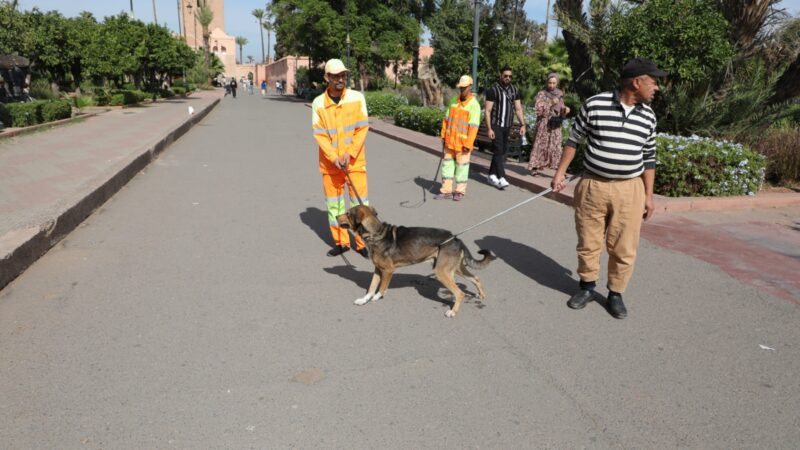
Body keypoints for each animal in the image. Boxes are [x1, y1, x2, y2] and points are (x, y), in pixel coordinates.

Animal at [336, 204, 494, 316]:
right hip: (455, 269)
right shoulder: (378, 269)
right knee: (476, 278)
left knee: (460, 293)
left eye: (348, 213)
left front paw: (376, 298)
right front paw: (363, 300)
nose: (336, 216)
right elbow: (371, 287)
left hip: (442, 272)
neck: (376, 234)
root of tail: (456, 239)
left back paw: (453, 312)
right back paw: (481, 295)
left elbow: (381, 289)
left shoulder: (388, 271)